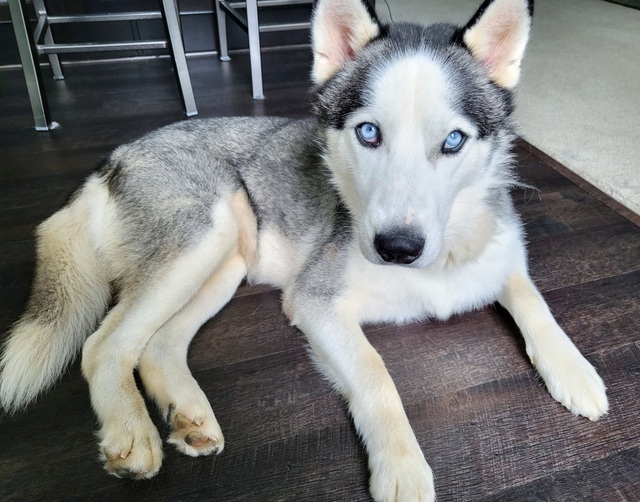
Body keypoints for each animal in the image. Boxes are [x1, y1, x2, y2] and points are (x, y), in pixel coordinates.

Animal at [1, 0, 608, 500]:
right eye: (369, 133)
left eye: (453, 141)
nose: (398, 248)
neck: (439, 263)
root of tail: (112, 159)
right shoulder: (316, 303)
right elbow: (376, 374)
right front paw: (402, 468)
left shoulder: (502, 256)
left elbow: (533, 300)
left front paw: (575, 370)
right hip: (202, 236)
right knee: (104, 344)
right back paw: (131, 433)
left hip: (226, 261)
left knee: (156, 345)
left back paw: (190, 415)